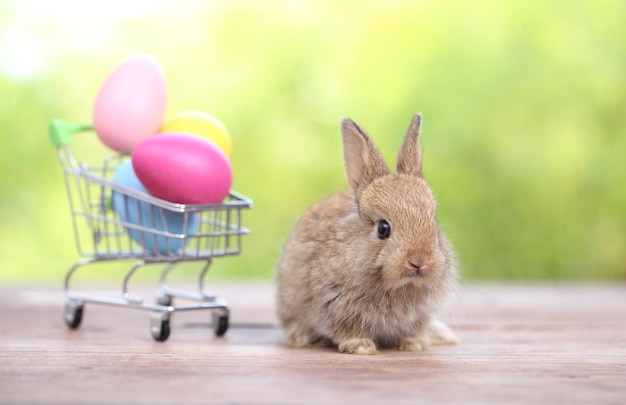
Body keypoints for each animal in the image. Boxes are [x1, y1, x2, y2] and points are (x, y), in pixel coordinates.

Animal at [276, 114, 456, 354]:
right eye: (383, 229)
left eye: (434, 221)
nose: (419, 261)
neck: (398, 286)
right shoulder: (336, 307)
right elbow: (349, 330)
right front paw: (361, 347)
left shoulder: (419, 315)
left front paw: (413, 344)